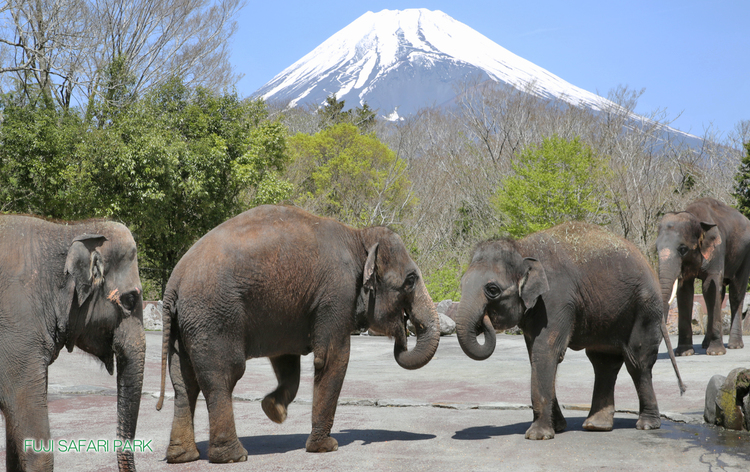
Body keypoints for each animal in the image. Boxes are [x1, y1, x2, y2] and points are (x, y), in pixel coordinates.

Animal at [156, 205, 444, 462]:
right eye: (410, 280)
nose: (403, 334)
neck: (358, 236)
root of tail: (174, 284)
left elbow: (287, 361)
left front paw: (273, 411)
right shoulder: (336, 293)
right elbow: (332, 359)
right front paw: (325, 447)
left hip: (186, 325)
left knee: (183, 382)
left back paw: (182, 457)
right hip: (213, 316)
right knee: (223, 376)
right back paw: (232, 457)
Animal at [456, 223, 684, 440]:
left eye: (492, 290)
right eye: (461, 284)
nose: (484, 320)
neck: (522, 248)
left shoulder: (556, 300)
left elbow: (546, 352)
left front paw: (538, 436)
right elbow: (535, 356)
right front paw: (557, 428)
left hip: (645, 308)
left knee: (637, 362)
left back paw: (646, 425)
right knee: (603, 362)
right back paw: (596, 426)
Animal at [656, 197, 750, 356]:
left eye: (683, 249)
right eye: (656, 249)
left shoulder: (717, 250)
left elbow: (710, 286)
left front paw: (716, 353)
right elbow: (685, 292)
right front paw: (684, 353)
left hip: (744, 256)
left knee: (736, 293)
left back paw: (734, 345)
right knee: (719, 295)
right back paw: (706, 344)